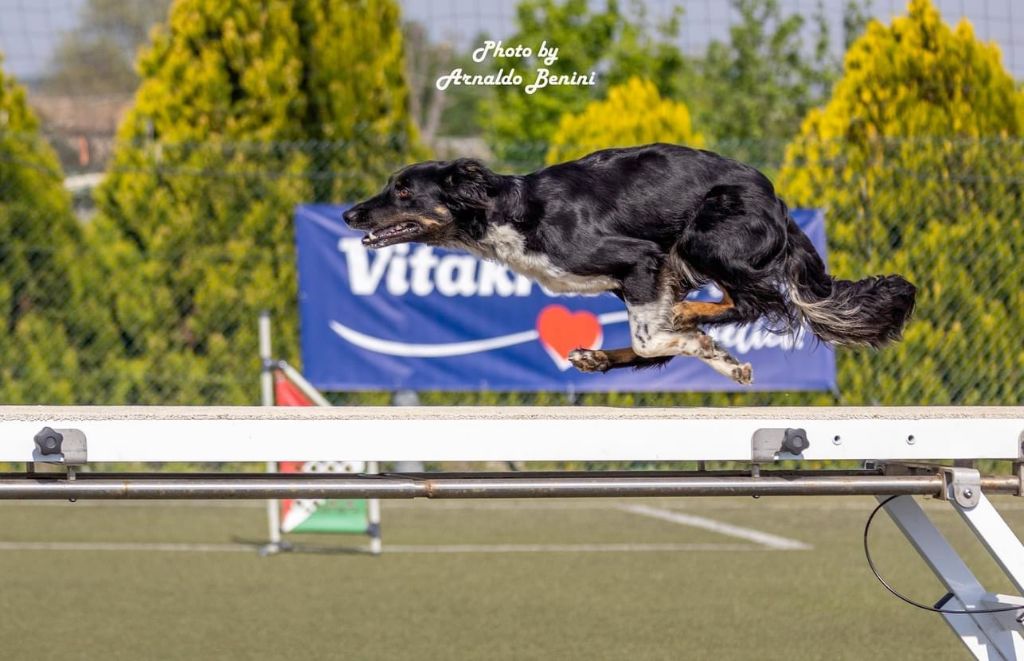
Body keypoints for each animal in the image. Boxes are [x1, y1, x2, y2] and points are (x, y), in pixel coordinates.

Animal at [344, 143, 921, 382]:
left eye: (402, 190)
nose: (350, 213)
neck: (514, 212)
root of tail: (775, 199)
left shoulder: (641, 259)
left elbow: (653, 340)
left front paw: (702, 345)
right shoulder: (639, 279)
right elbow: (653, 343)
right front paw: (718, 356)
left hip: (704, 238)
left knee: (755, 301)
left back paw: (689, 323)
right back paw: (604, 355)